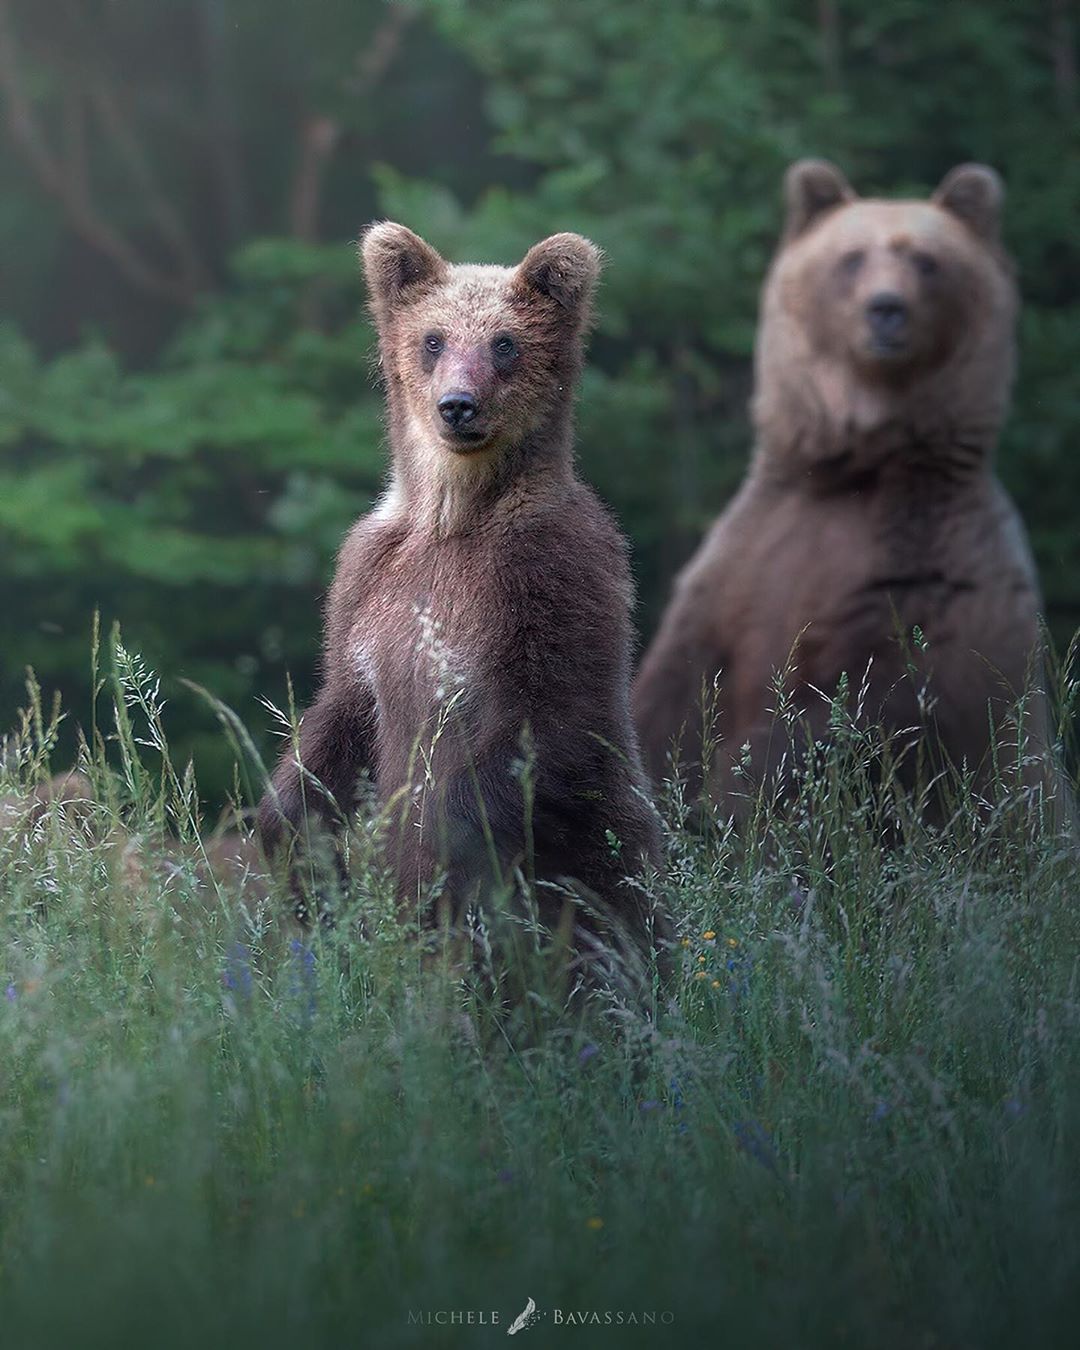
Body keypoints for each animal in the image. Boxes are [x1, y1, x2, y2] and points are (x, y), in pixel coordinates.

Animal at [259, 218, 666, 982]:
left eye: (505, 342)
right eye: (433, 338)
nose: (458, 405)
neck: (455, 515)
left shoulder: (544, 573)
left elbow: (539, 729)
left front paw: (421, 871)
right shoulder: (368, 581)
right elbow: (341, 711)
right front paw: (297, 848)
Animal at [631, 163, 1063, 826]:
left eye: (927, 261)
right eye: (852, 257)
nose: (887, 309)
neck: (853, 471)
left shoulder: (920, 584)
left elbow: (850, 719)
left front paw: (724, 803)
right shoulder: (743, 564)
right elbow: (671, 694)